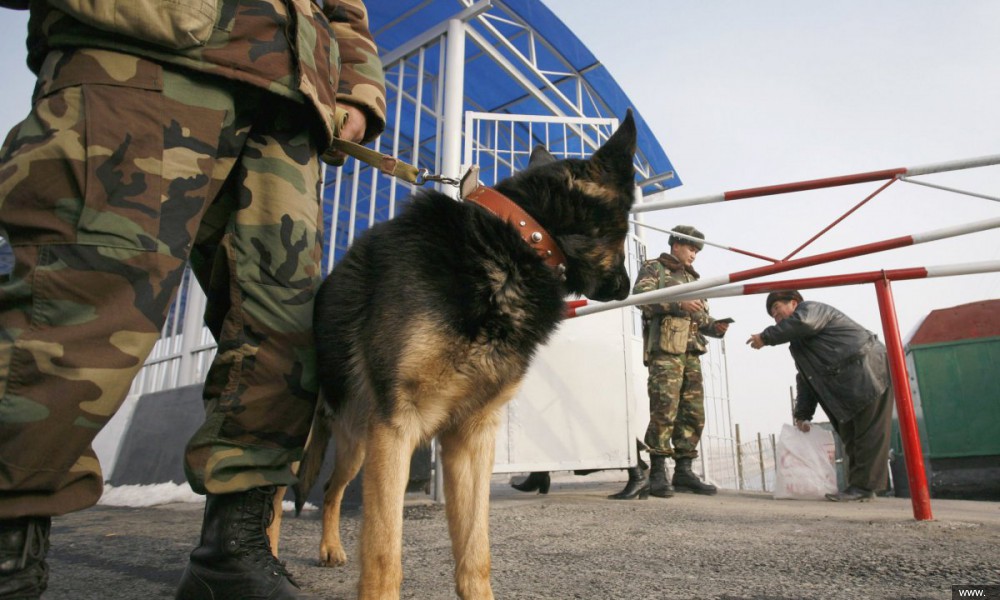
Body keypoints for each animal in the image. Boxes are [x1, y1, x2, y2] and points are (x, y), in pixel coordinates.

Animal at [290, 111, 636, 596]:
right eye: (627, 226)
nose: (628, 287)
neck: (514, 241)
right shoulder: (396, 428)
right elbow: (383, 551)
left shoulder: (470, 437)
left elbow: (475, 550)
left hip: (358, 443)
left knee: (329, 491)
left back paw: (330, 548)